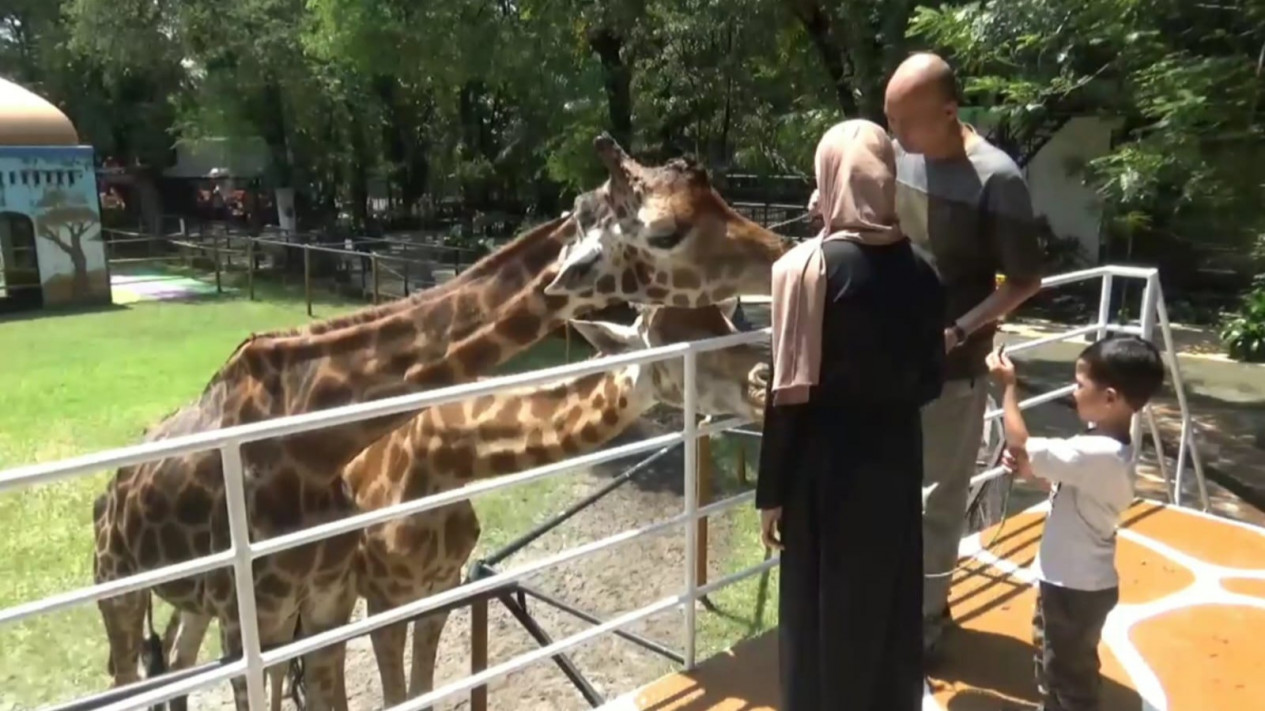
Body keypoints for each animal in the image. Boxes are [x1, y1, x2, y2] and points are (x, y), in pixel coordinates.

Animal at [341, 299, 764, 703]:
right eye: (673, 346)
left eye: (728, 326)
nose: (763, 382)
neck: (437, 465)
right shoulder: (384, 600)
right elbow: (396, 696)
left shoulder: (443, 585)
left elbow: (420, 693)